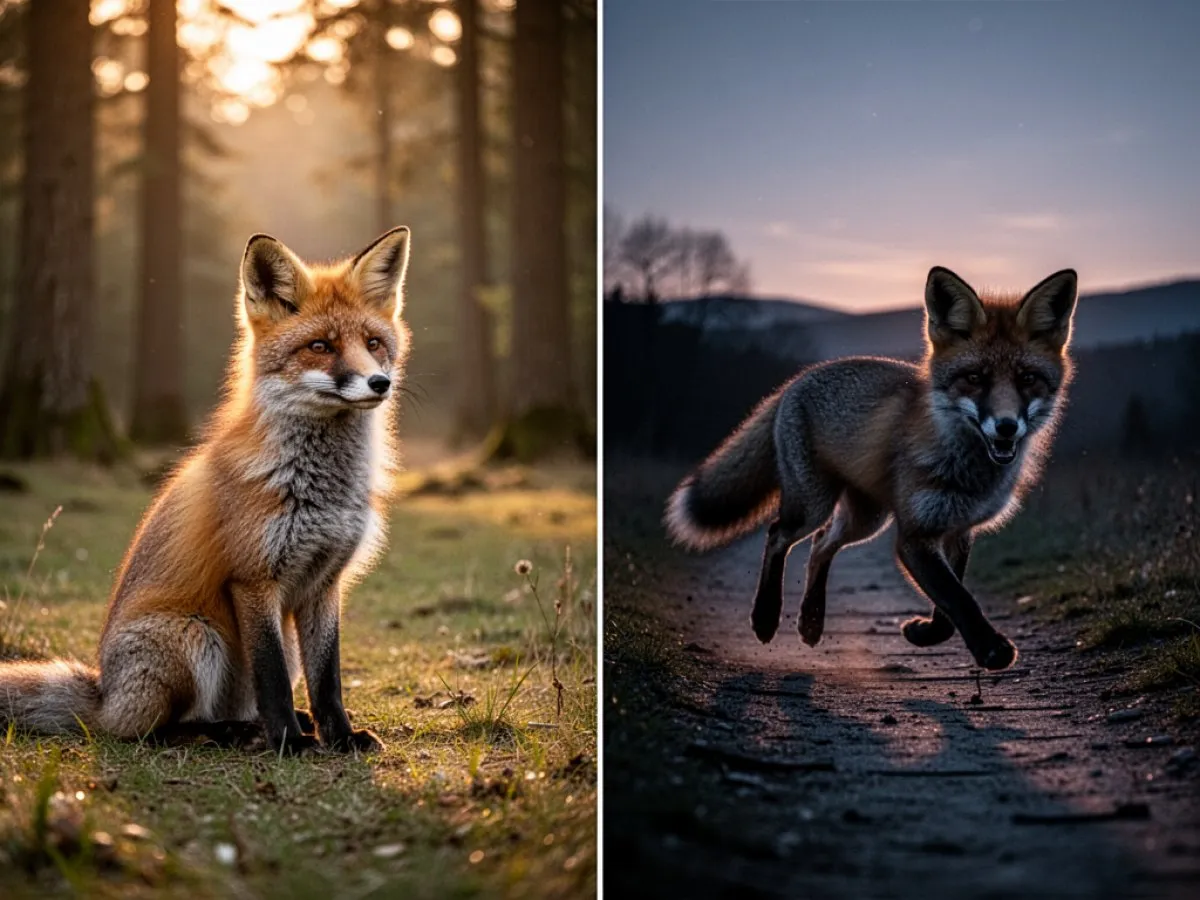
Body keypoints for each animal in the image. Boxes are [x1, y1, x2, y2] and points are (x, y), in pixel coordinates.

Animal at [0, 227, 413, 753]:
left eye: (374, 343)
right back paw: (233, 732)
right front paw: (290, 742)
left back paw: (253, 725)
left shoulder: (324, 583)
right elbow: (272, 679)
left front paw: (338, 736)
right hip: (196, 637)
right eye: (320, 346)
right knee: (156, 729)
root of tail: (103, 693)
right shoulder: (253, 579)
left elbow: (328, 680)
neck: (321, 489)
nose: (379, 382)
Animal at [665, 266, 1079, 671]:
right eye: (975, 378)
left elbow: (948, 611)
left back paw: (811, 622)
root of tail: (796, 380)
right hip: (813, 505)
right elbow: (958, 598)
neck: (967, 468)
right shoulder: (915, 534)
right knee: (778, 534)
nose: (1007, 427)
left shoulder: (959, 529)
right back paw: (766, 618)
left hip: (866, 519)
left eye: (1027, 378)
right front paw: (991, 651)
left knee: (821, 545)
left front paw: (923, 634)